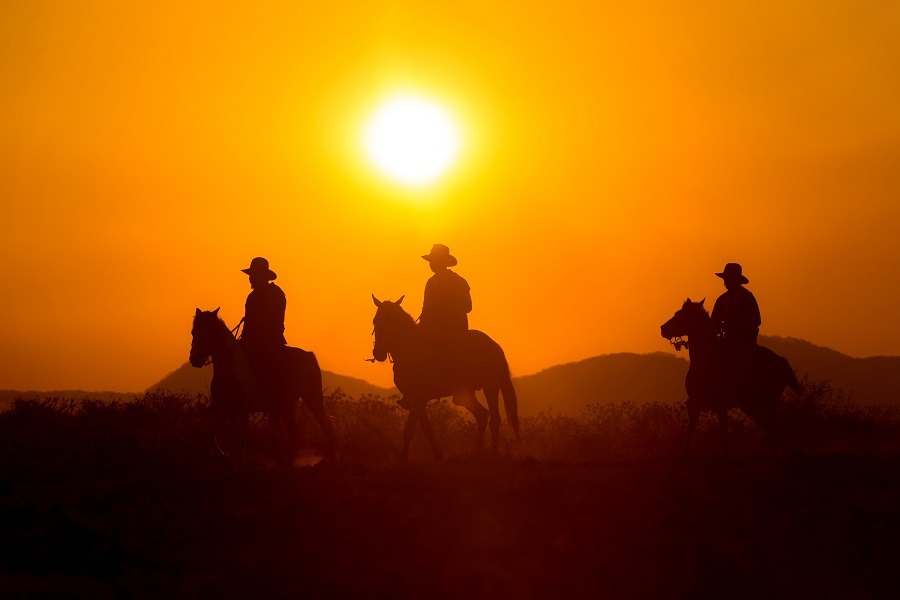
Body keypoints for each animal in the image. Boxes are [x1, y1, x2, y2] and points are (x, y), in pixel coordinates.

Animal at [188, 308, 340, 466]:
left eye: (207, 332)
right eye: (193, 332)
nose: (194, 360)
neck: (230, 368)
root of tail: (309, 356)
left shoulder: (243, 409)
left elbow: (241, 440)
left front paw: (239, 463)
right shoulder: (225, 408)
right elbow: (210, 434)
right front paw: (224, 457)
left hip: (313, 399)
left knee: (326, 426)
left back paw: (335, 460)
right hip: (285, 407)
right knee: (295, 433)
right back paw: (288, 463)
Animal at [368, 292, 520, 462]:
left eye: (391, 321)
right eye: (375, 321)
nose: (378, 353)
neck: (409, 348)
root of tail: (494, 346)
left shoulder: (417, 397)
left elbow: (409, 430)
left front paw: (403, 459)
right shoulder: (417, 400)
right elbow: (426, 429)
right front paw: (438, 455)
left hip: (491, 387)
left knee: (494, 418)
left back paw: (491, 454)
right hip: (467, 394)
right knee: (483, 415)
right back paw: (476, 452)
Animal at [656, 298, 800, 452]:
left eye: (680, 314)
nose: (663, 328)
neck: (706, 357)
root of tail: (781, 361)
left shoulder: (717, 405)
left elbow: (722, 439)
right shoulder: (697, 404)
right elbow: (693, 435)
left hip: (763, 403)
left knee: (771, 429)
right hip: (753, 405)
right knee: (770, 429)